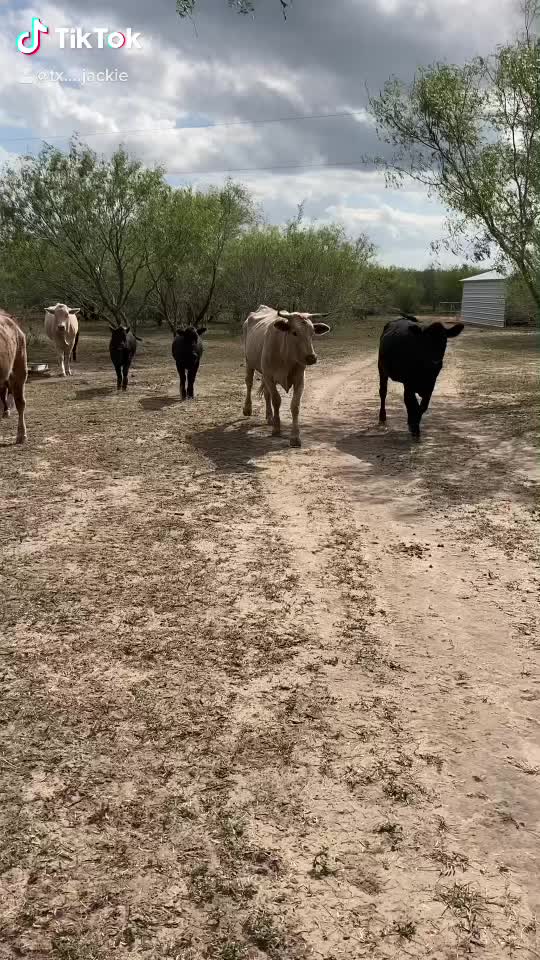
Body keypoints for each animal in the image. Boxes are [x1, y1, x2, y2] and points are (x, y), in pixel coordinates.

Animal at [243, 305, 331, 448]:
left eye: (312, 333)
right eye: (294, 332)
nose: (311, 357)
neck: (286, 356)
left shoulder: (300, 379)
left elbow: (295, 405)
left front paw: (295, 437)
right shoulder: (270, 377)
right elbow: (276, 400)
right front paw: (276, 429)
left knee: (266, 394)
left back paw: (270, 417)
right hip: (249, 362)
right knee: (249, 383)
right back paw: (247, 409)